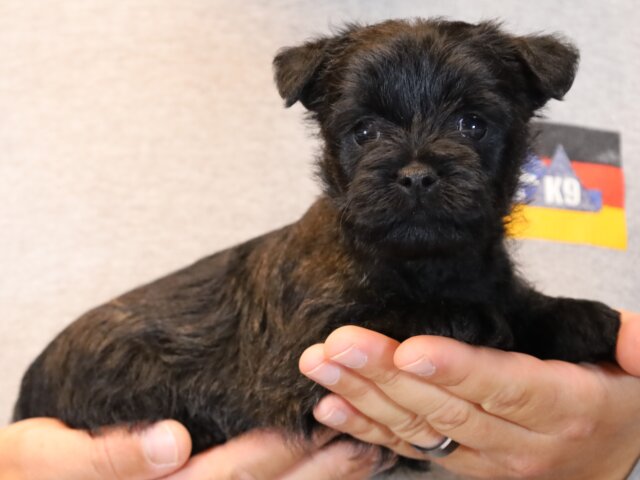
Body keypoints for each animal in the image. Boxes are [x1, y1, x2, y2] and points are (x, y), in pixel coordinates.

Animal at [13, 17, 620, 468]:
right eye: (365, 131)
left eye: (472, 124)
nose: (417, 174)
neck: (426, 263)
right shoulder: (305, 351)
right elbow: (418, 314)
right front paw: (470, 318)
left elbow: (516, 301)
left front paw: (578, 316)